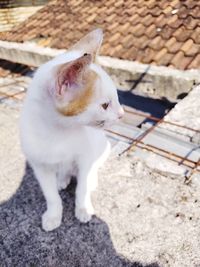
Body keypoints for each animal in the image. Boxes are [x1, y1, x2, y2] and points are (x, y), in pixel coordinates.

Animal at [20, 28, 123, 231]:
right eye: (105, 105)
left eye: (116, 98)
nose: (122, 114)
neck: (59, 133)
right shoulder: (39, 166)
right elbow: (51, 195)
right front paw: (54, 214)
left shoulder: (85, 159)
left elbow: (82, 187)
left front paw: (83, 208)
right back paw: (62, 179)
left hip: (102, 148)